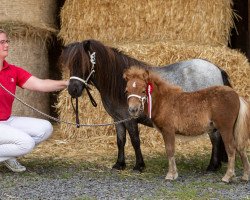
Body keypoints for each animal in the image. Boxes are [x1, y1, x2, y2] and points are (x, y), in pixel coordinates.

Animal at [60, 38, 230, 172]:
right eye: (70, 65)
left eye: (84, 63)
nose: (73, 89)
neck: (121, 84)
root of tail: (217, 69)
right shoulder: (118, 119)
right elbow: (120, 141)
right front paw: (119, 164)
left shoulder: (130, 119)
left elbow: (135, 141)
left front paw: (139, 166)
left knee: (215, 138)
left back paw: (212, 166)